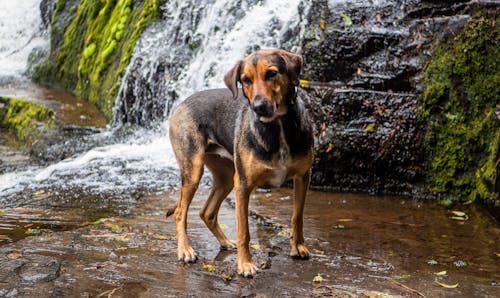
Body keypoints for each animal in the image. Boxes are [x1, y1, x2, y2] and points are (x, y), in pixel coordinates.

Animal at [168, 49, 316, 278]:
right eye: (245, 80)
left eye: (271, 73)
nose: (258, 107)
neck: (277, 126)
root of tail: (181, 103)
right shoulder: (244, 185)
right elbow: (244, 230)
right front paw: (245, 264)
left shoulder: (303, 176)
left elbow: (297, 217)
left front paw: (298, 247)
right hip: (194, 170)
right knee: (179, 212)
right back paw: (185, 250)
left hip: (227, 177)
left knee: (206, 212)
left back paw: (225, 242)